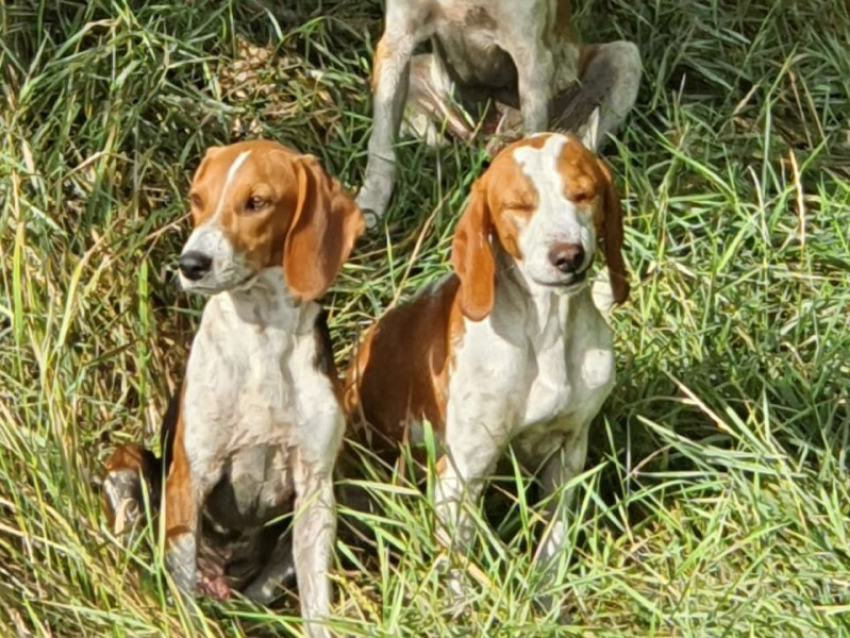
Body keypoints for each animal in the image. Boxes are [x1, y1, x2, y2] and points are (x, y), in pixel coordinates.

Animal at [102, 138, 362, 636]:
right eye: (197, 198)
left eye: (256, 202)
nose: (190, 265)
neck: (261, 336)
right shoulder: (192, 477)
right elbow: (180, 591)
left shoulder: (315, 488)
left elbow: (317, 603)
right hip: (126, 462)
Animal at [342, 129, 628, 600]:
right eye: (518, 205)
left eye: (584, 193)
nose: (568, 255)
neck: (547, 332)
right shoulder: (460, 475)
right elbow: (459, 568)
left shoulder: (568, 453)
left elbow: (554, 540)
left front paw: (548, 597)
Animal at [354, 0, 640, 228]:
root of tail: (483, 134)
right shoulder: (397, 42)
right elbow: (381, 145)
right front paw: (368, 207)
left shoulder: (532, 57)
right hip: (416, 74)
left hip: (626, 57)